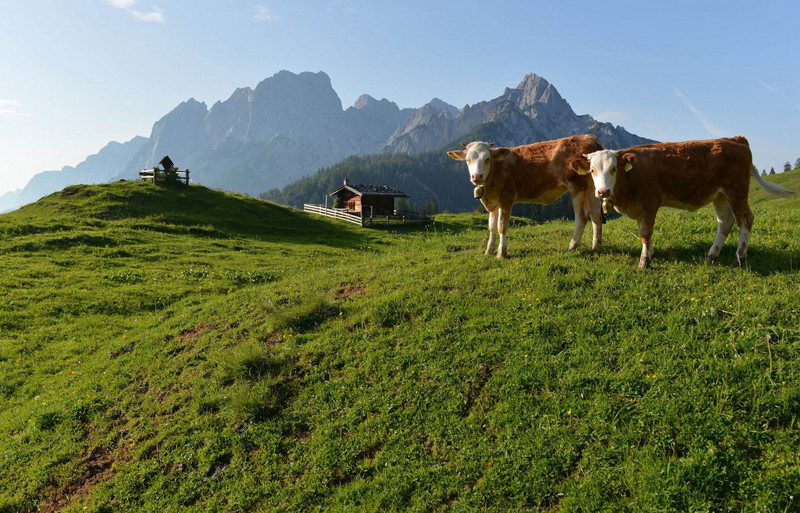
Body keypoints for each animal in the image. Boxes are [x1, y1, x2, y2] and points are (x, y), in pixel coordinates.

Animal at [446, 134, 604, 258]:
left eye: (487, 159)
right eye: (468, 160)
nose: (476, 176)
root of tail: (588, 137)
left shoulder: (506, 199)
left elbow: (501, 226)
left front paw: (501, 253)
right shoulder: (493, 204)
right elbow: (491, 227)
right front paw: (488, 251)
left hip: (578, 187)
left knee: (582, 215)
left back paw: (572, 245)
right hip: (593, 186)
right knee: (596, 214)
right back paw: (596, 245)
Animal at [576, 134, 792, 270]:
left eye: (613, 168)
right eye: (592, 170)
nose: (603, 191)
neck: (630, 177)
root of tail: (735, 139)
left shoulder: (650, 203)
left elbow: (645, 233)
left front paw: (644, 262)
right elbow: (645, 233)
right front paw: (650, 253)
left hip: (736, 190)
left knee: (745, 219)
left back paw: (740, 257)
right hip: (720, 196)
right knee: (725, 222)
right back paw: (711, 256)